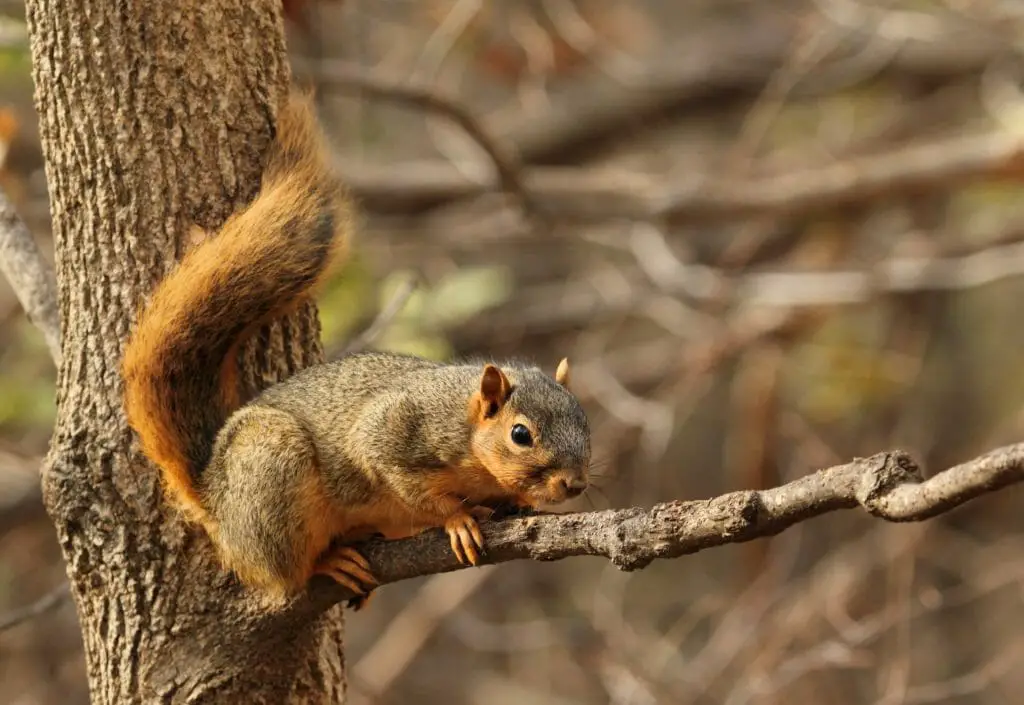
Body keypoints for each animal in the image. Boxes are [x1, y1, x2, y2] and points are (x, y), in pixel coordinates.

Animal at [121, 91, 592, 608]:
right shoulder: (394, 431)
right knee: (283, 572)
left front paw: (517, 501)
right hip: (270, 471)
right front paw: (457, 518)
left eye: (586, 422)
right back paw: (326, 562)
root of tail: (214, 496)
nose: (575, 484)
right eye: (520, 434)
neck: (466, 429)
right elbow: (408, 483)